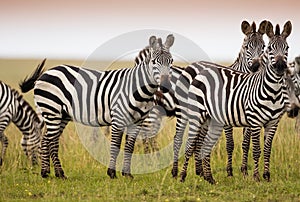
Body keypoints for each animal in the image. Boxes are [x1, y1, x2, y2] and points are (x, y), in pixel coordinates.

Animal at [19, 34, 175, 178]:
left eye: (171, 61)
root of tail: (45, 73)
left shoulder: (137, 121)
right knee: (51, 141)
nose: (165, 85)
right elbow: (115, 146)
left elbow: (129, 147)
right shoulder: (118, 118)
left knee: (46, 139)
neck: (138, 90)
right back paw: (60, 174)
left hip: (61, 115)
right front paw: (112, 173)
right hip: (52, 110)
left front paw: (127, 174)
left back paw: (45, 173)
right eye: (154, 62)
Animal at [179, 21, 292, 184]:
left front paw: (254, 173)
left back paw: (202, 173)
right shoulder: (238, 120)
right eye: (246, 46)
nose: (280, 67)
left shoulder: (267, 122)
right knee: (187, 140)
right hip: (192, 112)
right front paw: (235, 173)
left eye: (287, 48)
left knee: (200, 142)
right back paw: (180, 174)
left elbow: (254, 146)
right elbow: (236, 145)